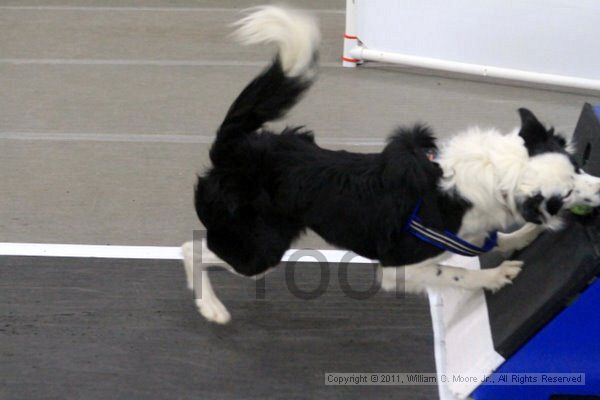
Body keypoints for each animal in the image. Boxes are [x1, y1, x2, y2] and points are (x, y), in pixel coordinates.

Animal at [182, 7, 600, 324]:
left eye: (578, 167)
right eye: (564, 195)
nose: (599, 186)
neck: (487, 177)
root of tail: (235, 145)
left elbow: (492, 241)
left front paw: (521, 238)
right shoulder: (397, 269)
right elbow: (456, 273)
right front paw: (497, 275)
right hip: (260, 249)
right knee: (192, 249)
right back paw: (211, 307)